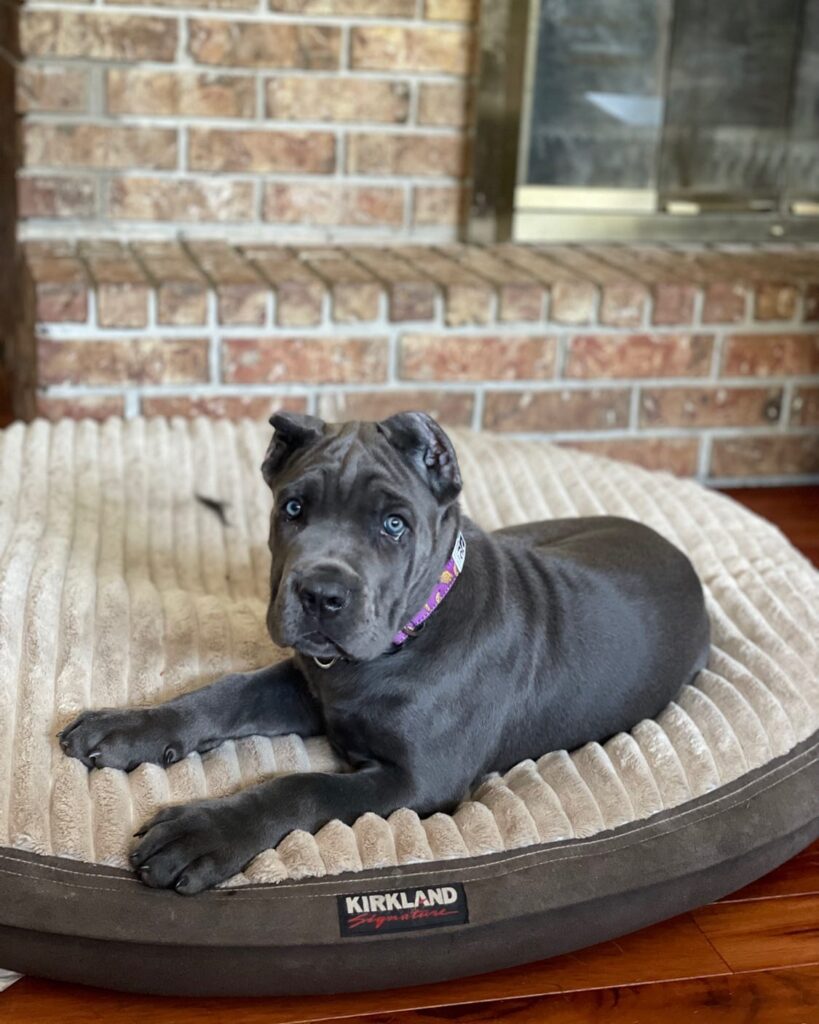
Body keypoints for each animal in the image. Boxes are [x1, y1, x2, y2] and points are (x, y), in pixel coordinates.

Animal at [59, 411, 708, 892]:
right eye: (293, 508)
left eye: (395, 525)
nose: (320, 594)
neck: (400, 643)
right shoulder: (309, 688)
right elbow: (224, 693)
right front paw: (128, 727)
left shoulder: (417, 779)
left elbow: (302, 785)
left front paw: (203, 832)